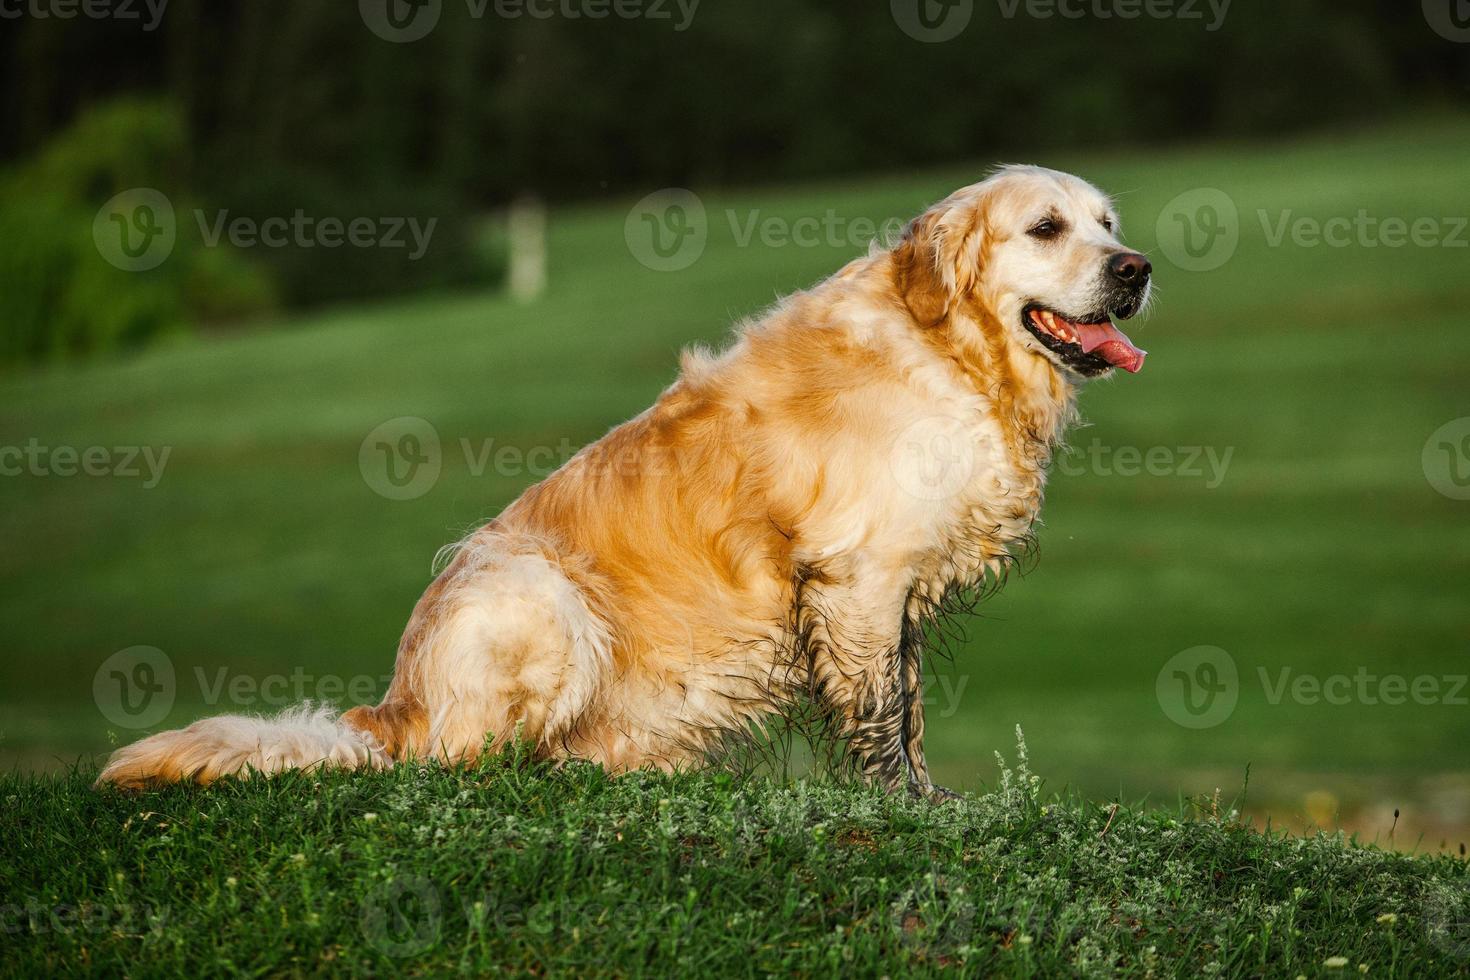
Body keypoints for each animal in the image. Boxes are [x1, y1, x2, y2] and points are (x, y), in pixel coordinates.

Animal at [100, 166, 1146, 799]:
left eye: (1108, 225)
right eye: (1046, 228)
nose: (1135, 270)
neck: (952, 353)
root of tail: (389, 711)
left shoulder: (893, 592)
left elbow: (910, 707)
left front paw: (933, 798)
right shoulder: (861, 574)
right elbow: (882, 716)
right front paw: (902, 810)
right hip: (538, 596)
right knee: (461, 769)